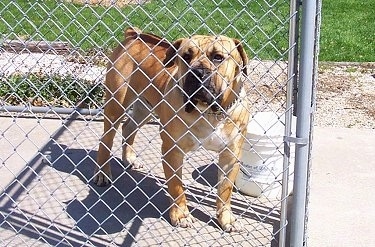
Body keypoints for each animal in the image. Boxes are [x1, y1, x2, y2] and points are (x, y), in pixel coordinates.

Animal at [95, 27, 251, 232]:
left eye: (218, 57)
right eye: (186, 56)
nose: (196, 72)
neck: (208, 113)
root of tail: (133, 35)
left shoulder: (230, 155)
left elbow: (225, 190)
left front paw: (226, 218)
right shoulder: (173, 151)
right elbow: (176, 186)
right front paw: (181, 215)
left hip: (145, 107)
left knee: (129, 127)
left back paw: (129, 158)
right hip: (116, 105)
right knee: (106, 139)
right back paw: (102, 173)